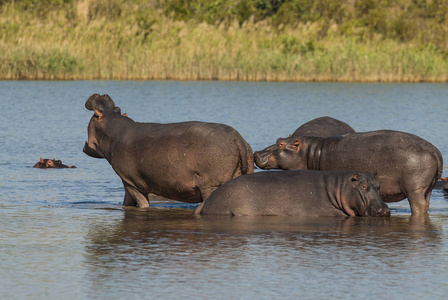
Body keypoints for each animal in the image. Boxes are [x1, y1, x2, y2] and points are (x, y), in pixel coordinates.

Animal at [82, 94, 254, 209]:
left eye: (95, 114)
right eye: (116, 108)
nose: (101, 94)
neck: (113, 128)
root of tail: (237, 138)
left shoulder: (131, 182)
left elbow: (143, 204)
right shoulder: (127, 183)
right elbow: (127, 203)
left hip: (211, 185)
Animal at [254, 130, 442, 214]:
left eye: (280, 144)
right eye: (279, 139)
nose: (256, 153)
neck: (310, 152)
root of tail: (436, 151)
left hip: (415, 189)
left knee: (418, 206)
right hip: (428, 188)